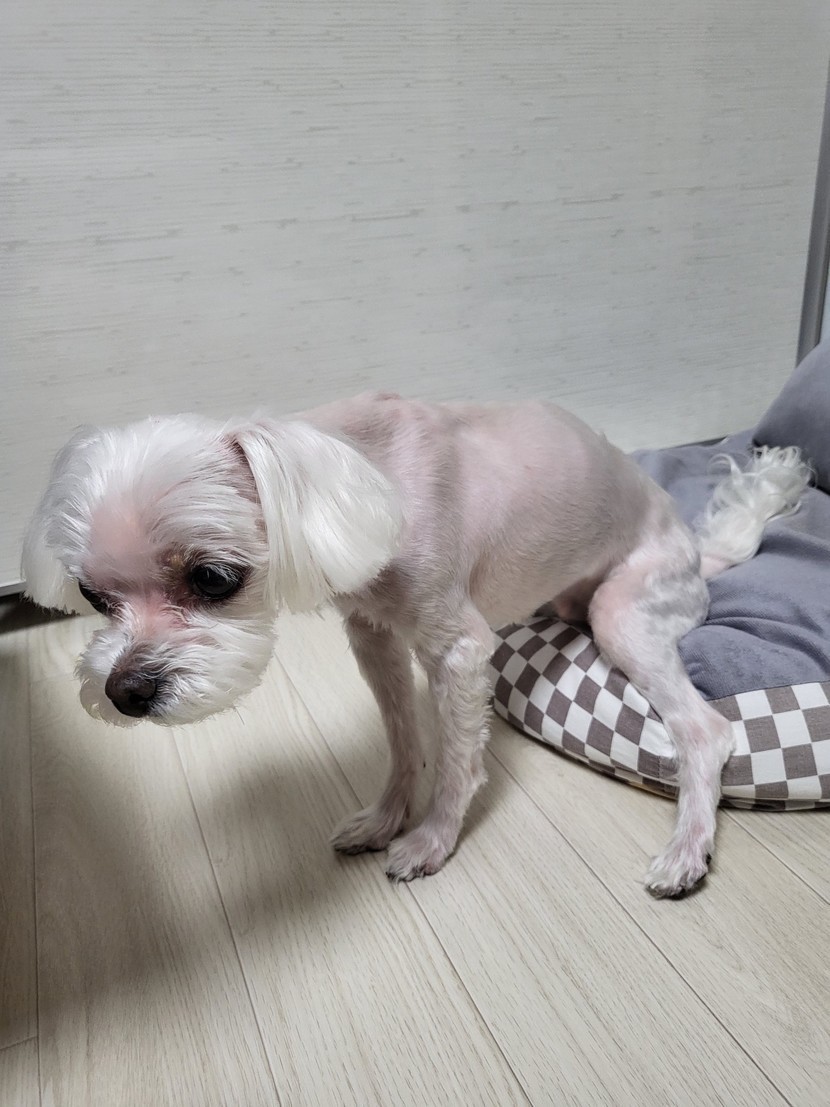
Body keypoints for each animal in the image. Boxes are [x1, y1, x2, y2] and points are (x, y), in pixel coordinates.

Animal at [22, 393, 809, 895]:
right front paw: (385, 817)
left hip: (624, 608)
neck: (360, 474)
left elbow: (458, 759)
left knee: (706, 731)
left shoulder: (459, 648)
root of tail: (696, 553)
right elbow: (404, 737)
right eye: (93, 597)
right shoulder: (370, 633)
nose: (125, 692)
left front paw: (432, 841)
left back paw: (686, 851)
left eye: (213, 578)